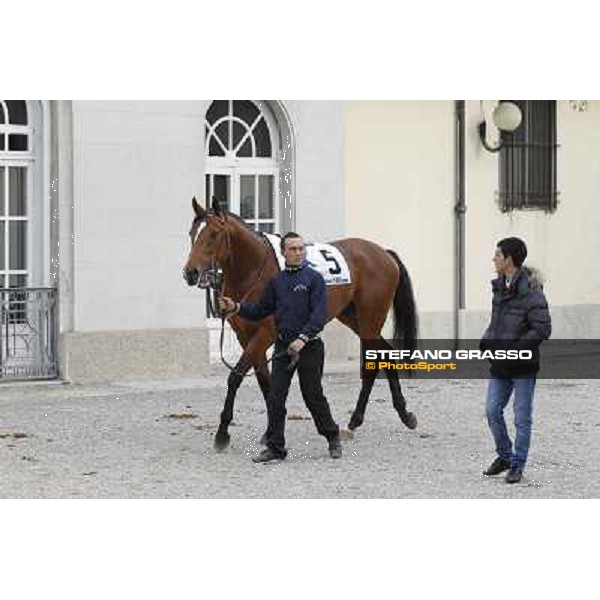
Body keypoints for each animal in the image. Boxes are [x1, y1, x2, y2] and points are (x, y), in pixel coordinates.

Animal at [183, 197, 418, 450]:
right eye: (192, 233)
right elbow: (266, 382)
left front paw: (222, 434)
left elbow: (235, 376)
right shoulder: (245, 336)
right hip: (352, 317)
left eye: (214, 234)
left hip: (370, 320)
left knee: (373, 361)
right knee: (387, 353)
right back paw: (404, 414)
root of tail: (384, 253)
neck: (255, 269)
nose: (190, 272)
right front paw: (269, 432)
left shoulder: (265, 334)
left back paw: (355, 420)